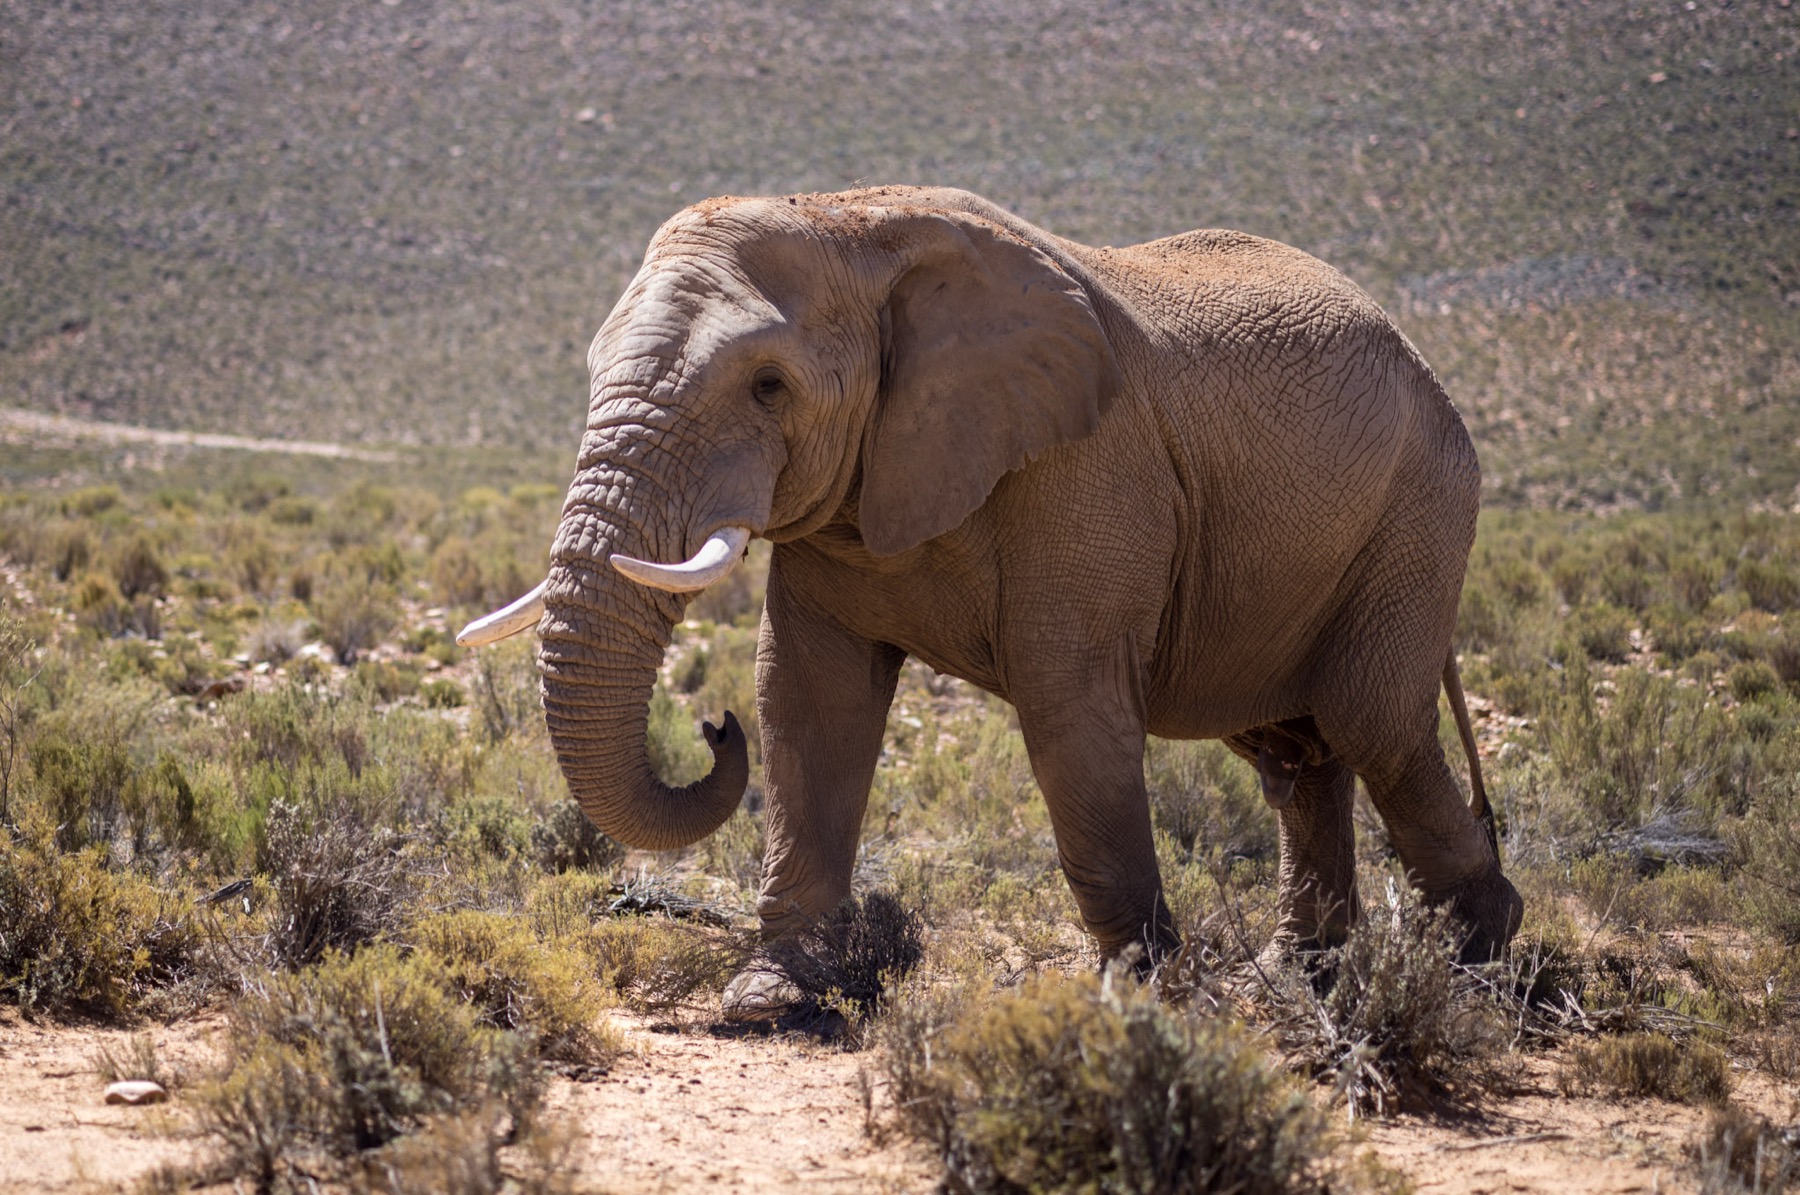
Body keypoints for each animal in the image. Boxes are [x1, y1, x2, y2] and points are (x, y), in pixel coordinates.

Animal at [458, 185, 1523, 1008]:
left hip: (1421, 506)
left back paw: (1478, 958)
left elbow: (1067, 707)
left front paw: (1143, 1000)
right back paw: (1300, 977)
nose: (711, 730)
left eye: (767, 385)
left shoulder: (1087, 469)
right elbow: (808, 698)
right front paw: (772, 996)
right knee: (1295, 749)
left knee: (1370, 721)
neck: (850, 222)